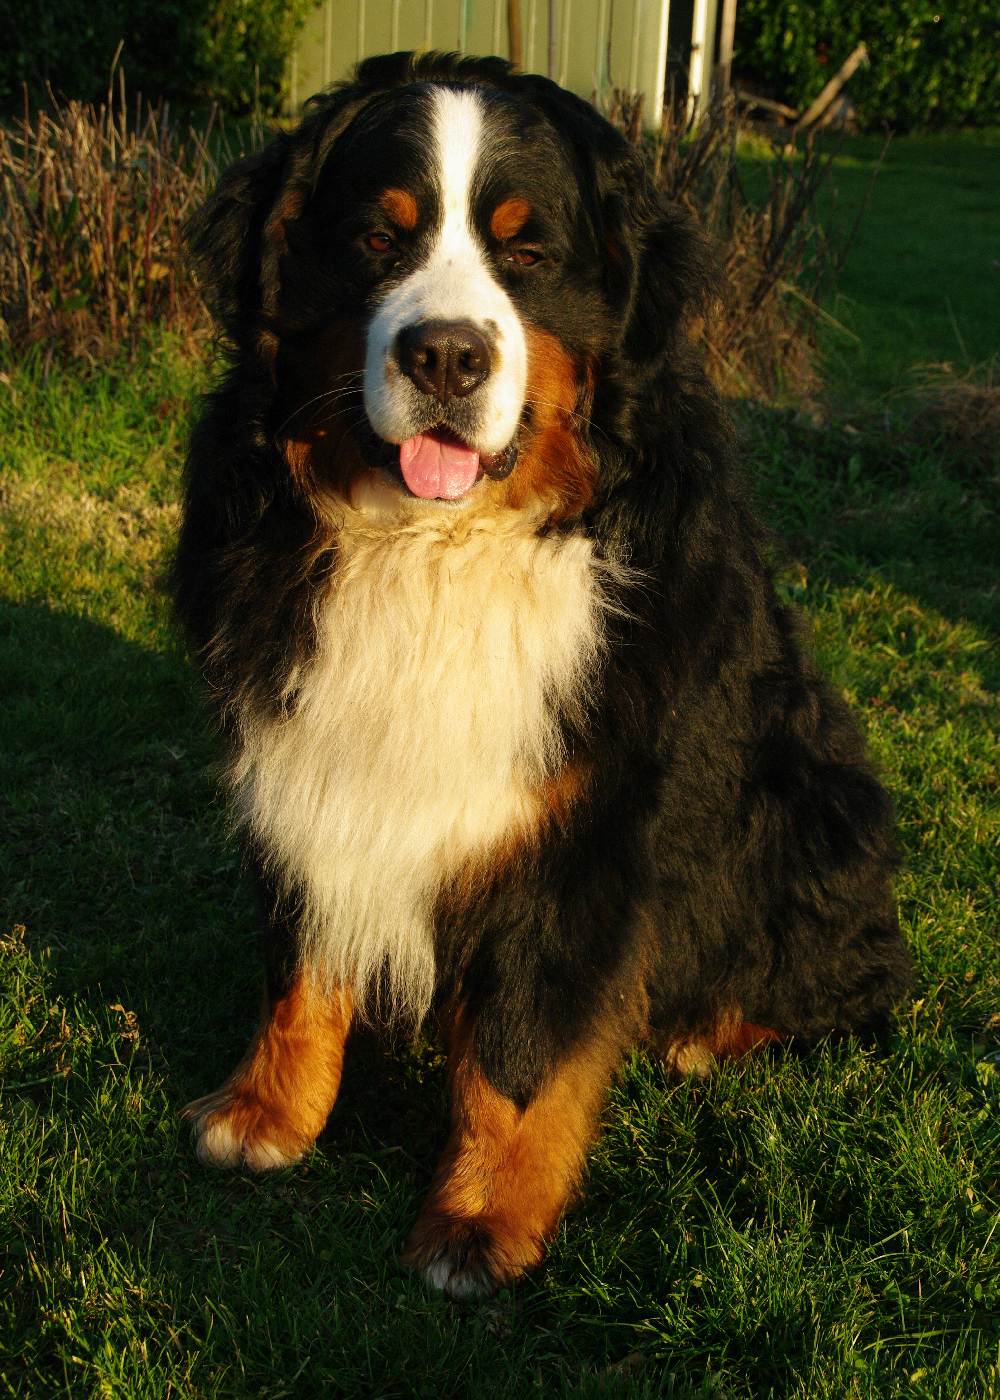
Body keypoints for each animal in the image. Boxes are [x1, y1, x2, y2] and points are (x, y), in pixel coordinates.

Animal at [173, 51, 911, 1299]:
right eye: (377, 240)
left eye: (527, 255)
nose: (445, 355)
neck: (436, 546)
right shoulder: (301, 757)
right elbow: (301, 960)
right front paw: (266, 1110)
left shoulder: (584, 828)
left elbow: (518, 1049)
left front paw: (478, 1220)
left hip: (820, 809)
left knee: (853, 985)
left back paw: (707, 1032)